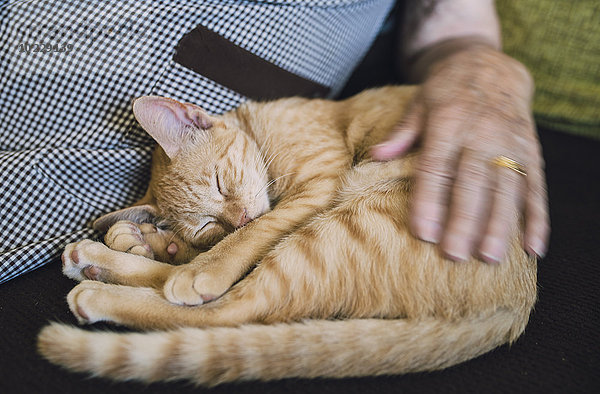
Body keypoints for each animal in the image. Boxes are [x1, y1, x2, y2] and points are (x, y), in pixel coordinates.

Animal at [37, 85, 536, 384]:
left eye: (220, 183)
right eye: (207, 224)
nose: (235, 218)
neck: (262, 130)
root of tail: (517, 304)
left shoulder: (318, 187)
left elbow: (253, 234)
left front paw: (199, 262)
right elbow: (234, 244)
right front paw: (167, 242)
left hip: (342, 223)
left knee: (231, 308)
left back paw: (105, 287)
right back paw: (108, 255)